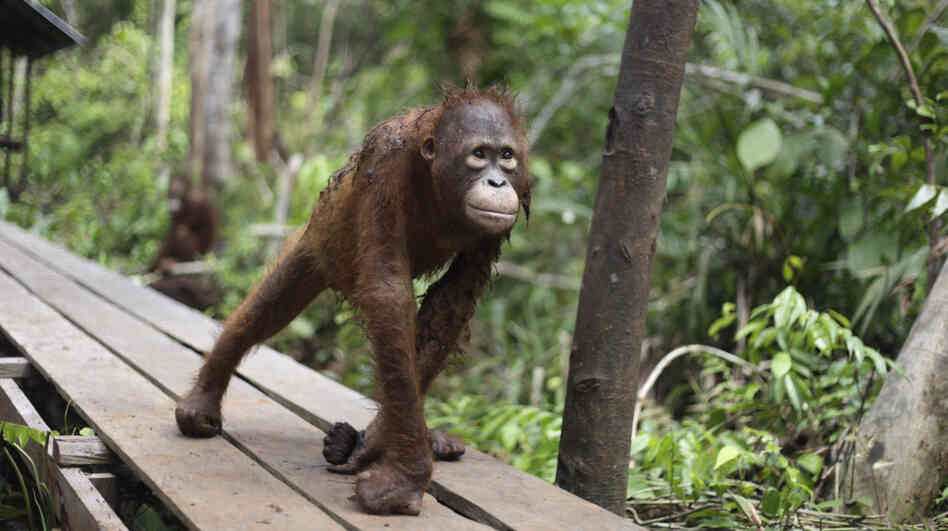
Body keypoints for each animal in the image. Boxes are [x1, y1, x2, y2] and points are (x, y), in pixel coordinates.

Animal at [174, 85, 531, 515]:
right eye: (479, 153)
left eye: (507, 156)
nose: (497, 182)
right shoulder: (386, 163)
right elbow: (388, 292)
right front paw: (406, 479)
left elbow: (451, 301)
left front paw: (374, 445)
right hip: (314, 242)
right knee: (263, 313)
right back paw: (201, 403)